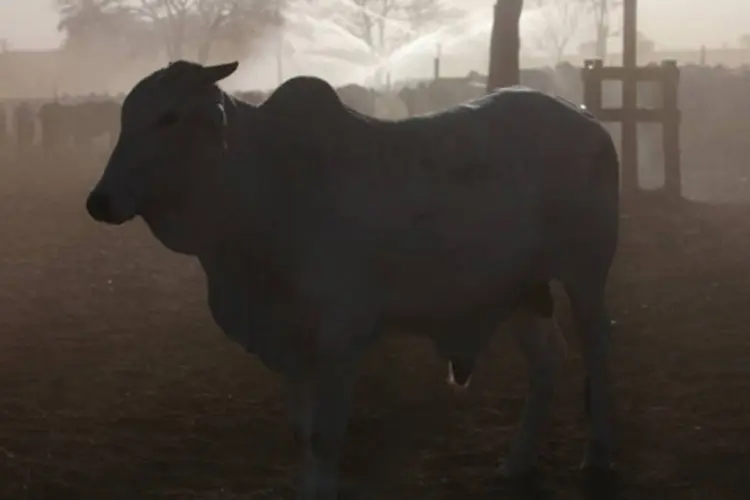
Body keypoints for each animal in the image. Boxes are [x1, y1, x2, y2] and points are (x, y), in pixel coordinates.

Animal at [85, 60, 620, 498]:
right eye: (125, 117)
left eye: (169, 118)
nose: (99, 201)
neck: (268, 185)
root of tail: (588, 119)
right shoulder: (291, 341)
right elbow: (302, 434)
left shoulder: (342, 336)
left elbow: (326, 438)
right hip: (518, 292)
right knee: (548, 361)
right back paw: (518, 462)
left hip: (586, 274)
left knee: (597, 353)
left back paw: (597, 455)